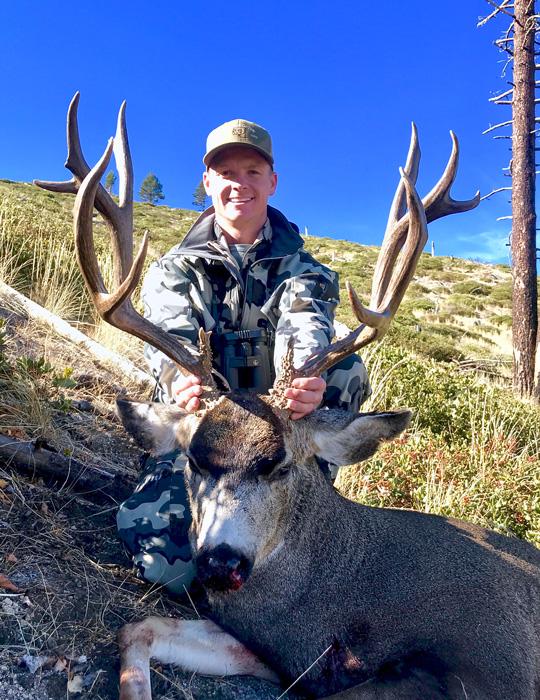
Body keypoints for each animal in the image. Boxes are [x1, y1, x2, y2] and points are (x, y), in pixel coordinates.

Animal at [35, 94, 540, 700]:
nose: (221, 563)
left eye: (280, 466)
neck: (339, 598)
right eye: (194, 462)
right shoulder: (274, 653)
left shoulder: (497, 659)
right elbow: (138, 626)